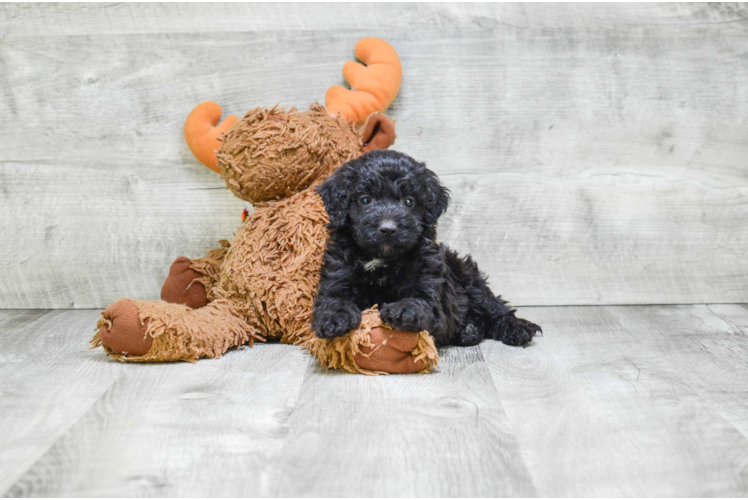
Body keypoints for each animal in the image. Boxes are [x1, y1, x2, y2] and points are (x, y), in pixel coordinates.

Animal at [312, 149, 540, 348]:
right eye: (365, 200)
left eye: (409, 202)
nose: (388, 228)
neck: (382, 259)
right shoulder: (337, 274)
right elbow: (333, 300)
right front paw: (334, 319)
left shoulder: (429, 280)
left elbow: (421, 300)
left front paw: (404, 310)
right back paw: (469, 330)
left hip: (470, 280)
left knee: (494, 306)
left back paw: (516, 329)